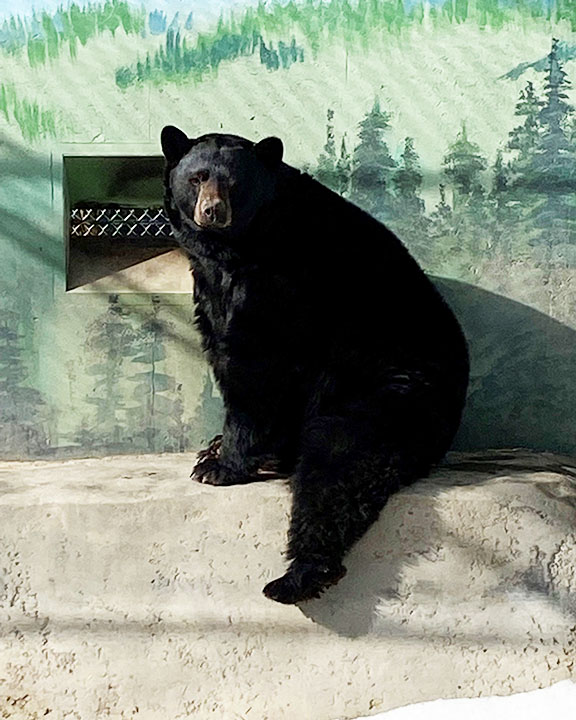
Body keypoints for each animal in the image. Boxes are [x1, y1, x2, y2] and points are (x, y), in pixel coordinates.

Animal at [160, 126, 470, 605]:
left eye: (234, 183)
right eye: (197, 177)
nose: (212, 211)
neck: (238, 246)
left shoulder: (280, 282)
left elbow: (255, 368)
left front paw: (222, 465)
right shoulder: (212, 284)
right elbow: (220, 341)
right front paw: (215, 447)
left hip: (388, 395)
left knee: (337, 465)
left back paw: (300, 575)